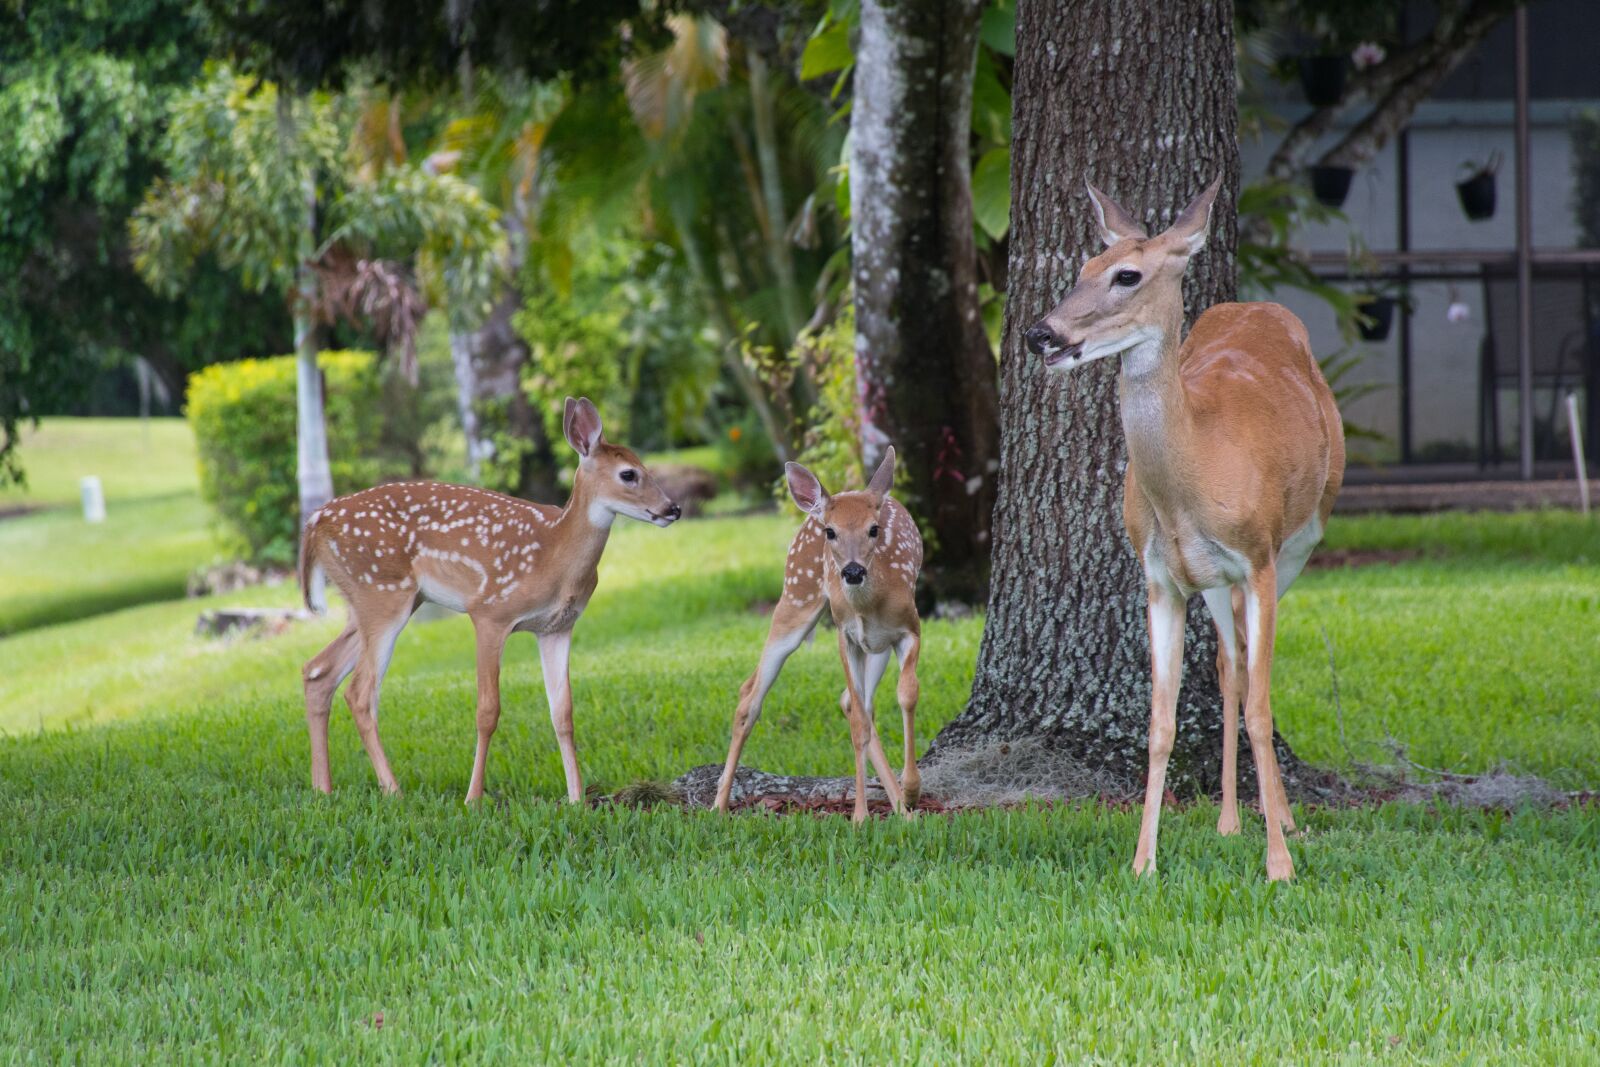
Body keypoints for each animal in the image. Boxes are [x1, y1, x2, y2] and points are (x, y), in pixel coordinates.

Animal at [297, 396, 682, 805]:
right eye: (629, 474)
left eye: (645, 466)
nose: (673, 508)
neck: (554, 555)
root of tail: (314, 523)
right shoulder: (490, 612)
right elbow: (488, 710)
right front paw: (473, 798)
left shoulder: (557, 627)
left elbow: (563, 713)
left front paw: (577, 798)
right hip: (381, 592)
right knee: (360, 692)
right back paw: (393, 791)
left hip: (382, 599)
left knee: (318, 670)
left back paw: (322, 789)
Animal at [712, 448, 923, 823]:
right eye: (831, 532)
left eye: (874, 529)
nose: (852, 571)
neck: (871, 605)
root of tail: (812, 509)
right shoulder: (845, 635)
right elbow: (859, 724)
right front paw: (860, 817)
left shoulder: (909, 627)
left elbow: (906, 694)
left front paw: (911, 792)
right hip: (795, 596)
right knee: (750, 695)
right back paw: (717, 805)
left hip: (875, 645)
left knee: (855, 702)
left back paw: (902, 809)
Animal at [1024, 176, 1344, 881]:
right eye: (1081, 268)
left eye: (1126, 275)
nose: (1041, 334)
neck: (1196, 471)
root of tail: (1256, 305)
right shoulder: (1160, 579)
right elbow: (1161, 722)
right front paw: (1143, 861)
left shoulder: (1257, 555)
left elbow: (1260, 709)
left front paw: (1280, 864)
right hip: (1216, 581)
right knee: (1230, 663)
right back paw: (1229, 821)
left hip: (1298, 542)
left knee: (1253, 674)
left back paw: (1280, 821)